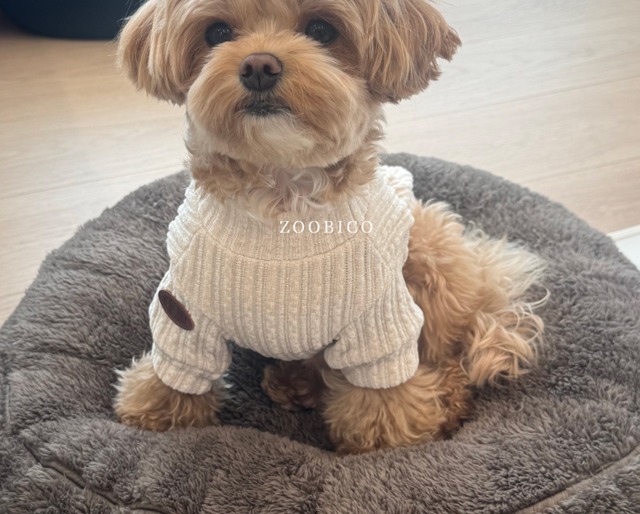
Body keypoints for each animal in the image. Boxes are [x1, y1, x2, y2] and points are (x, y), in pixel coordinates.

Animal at [113, 0, 546, 454]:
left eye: (321, 29)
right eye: (216, 33)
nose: (259, 65)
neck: (281, 206)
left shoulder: (379, 320)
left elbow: (384, 395)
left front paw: (385, 441)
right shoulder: (184, 310)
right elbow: (179, 364)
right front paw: (155, 412)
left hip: (430, 258)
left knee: (450, 361)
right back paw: (296, 381)